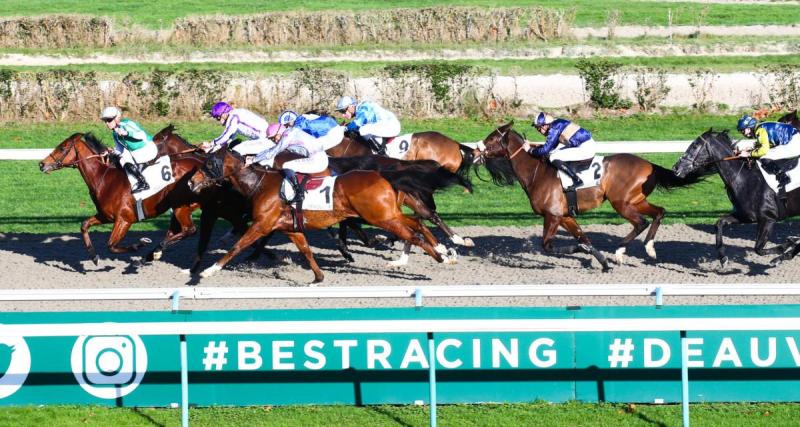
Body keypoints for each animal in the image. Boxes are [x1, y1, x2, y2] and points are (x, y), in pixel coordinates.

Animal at [188, 149, 450, 282]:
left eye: (207, 165)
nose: (190, 182)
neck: (260, 184)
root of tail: (383, 174)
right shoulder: (290, 227)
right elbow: (306, 250)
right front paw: (318, 276)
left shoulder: (262, 225)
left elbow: (238, 245)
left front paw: (208, 271)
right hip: (387, 214)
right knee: (417, 222)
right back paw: (444, 251)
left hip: (381, 217)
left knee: (414, 233)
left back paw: (439, 257)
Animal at [478, 122, 704, 272]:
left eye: (491, 139)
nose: (475, 151)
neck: (536, 172)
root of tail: (650, 165)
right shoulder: (565, 216)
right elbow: (584, 237)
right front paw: (602, 263)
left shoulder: (552, 216)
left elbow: (548, 246)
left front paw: (584, 251)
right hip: (636, 200)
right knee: (659, 212)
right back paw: (649, 249)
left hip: (621, 203)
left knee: (641, 222)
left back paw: (620, 252)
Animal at [672, 129, 796, 268]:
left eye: (694, 145)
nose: (676, 168)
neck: (746, 179)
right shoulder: (746, 216)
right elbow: (719, 223)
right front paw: (722, 258)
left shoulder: (768, 219)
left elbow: (758, 248)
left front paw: (787, 245)